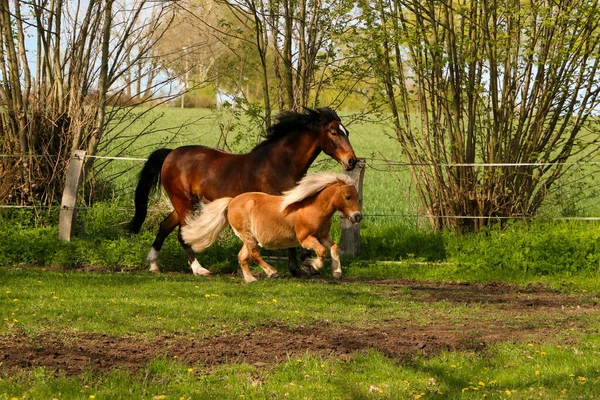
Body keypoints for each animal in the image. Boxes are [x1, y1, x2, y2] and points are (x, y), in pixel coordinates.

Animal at [124, 106, 354, 276]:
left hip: (186, 202)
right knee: (182, 234)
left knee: (165, 226)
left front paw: (307, 266)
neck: (281, 164)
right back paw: (199, 269)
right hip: (184, 202)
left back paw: (154, 265)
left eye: (347, 132)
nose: (351, 161)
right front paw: (299, 269)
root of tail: (171, 154)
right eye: (334, 133)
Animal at [180, 172, 364, 282]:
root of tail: (231, 201)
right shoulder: (305, 238)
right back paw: (271, 272)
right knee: (254, 254)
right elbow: (322, 251)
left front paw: (337, 272)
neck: (313, 208)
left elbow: (334, 248)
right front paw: (315, 266)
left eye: (357, 197)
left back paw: (251, 279)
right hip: (247, 236)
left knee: (243, 256)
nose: (357, 217)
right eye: (347, 196)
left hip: (249, 238)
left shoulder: (323, 236)